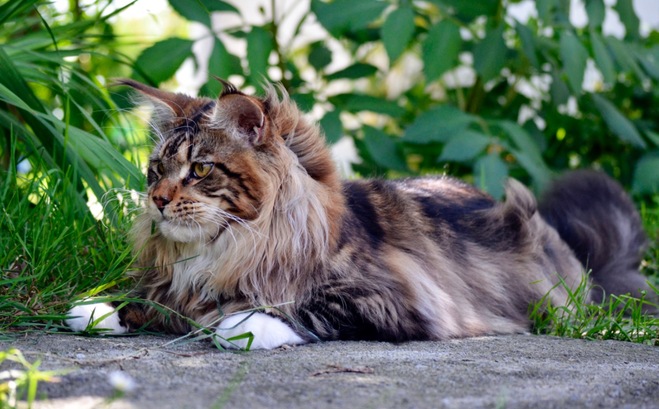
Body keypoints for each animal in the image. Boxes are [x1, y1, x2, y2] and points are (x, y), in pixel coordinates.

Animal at [64, 79, 652, 348]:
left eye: (201, 169)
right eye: (156, 170)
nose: (158, 200)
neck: (224, 249)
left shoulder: (395, 299)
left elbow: (297, 311)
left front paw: (239, 325)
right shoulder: (176, 284)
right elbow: (145, 299)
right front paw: (98, 310)